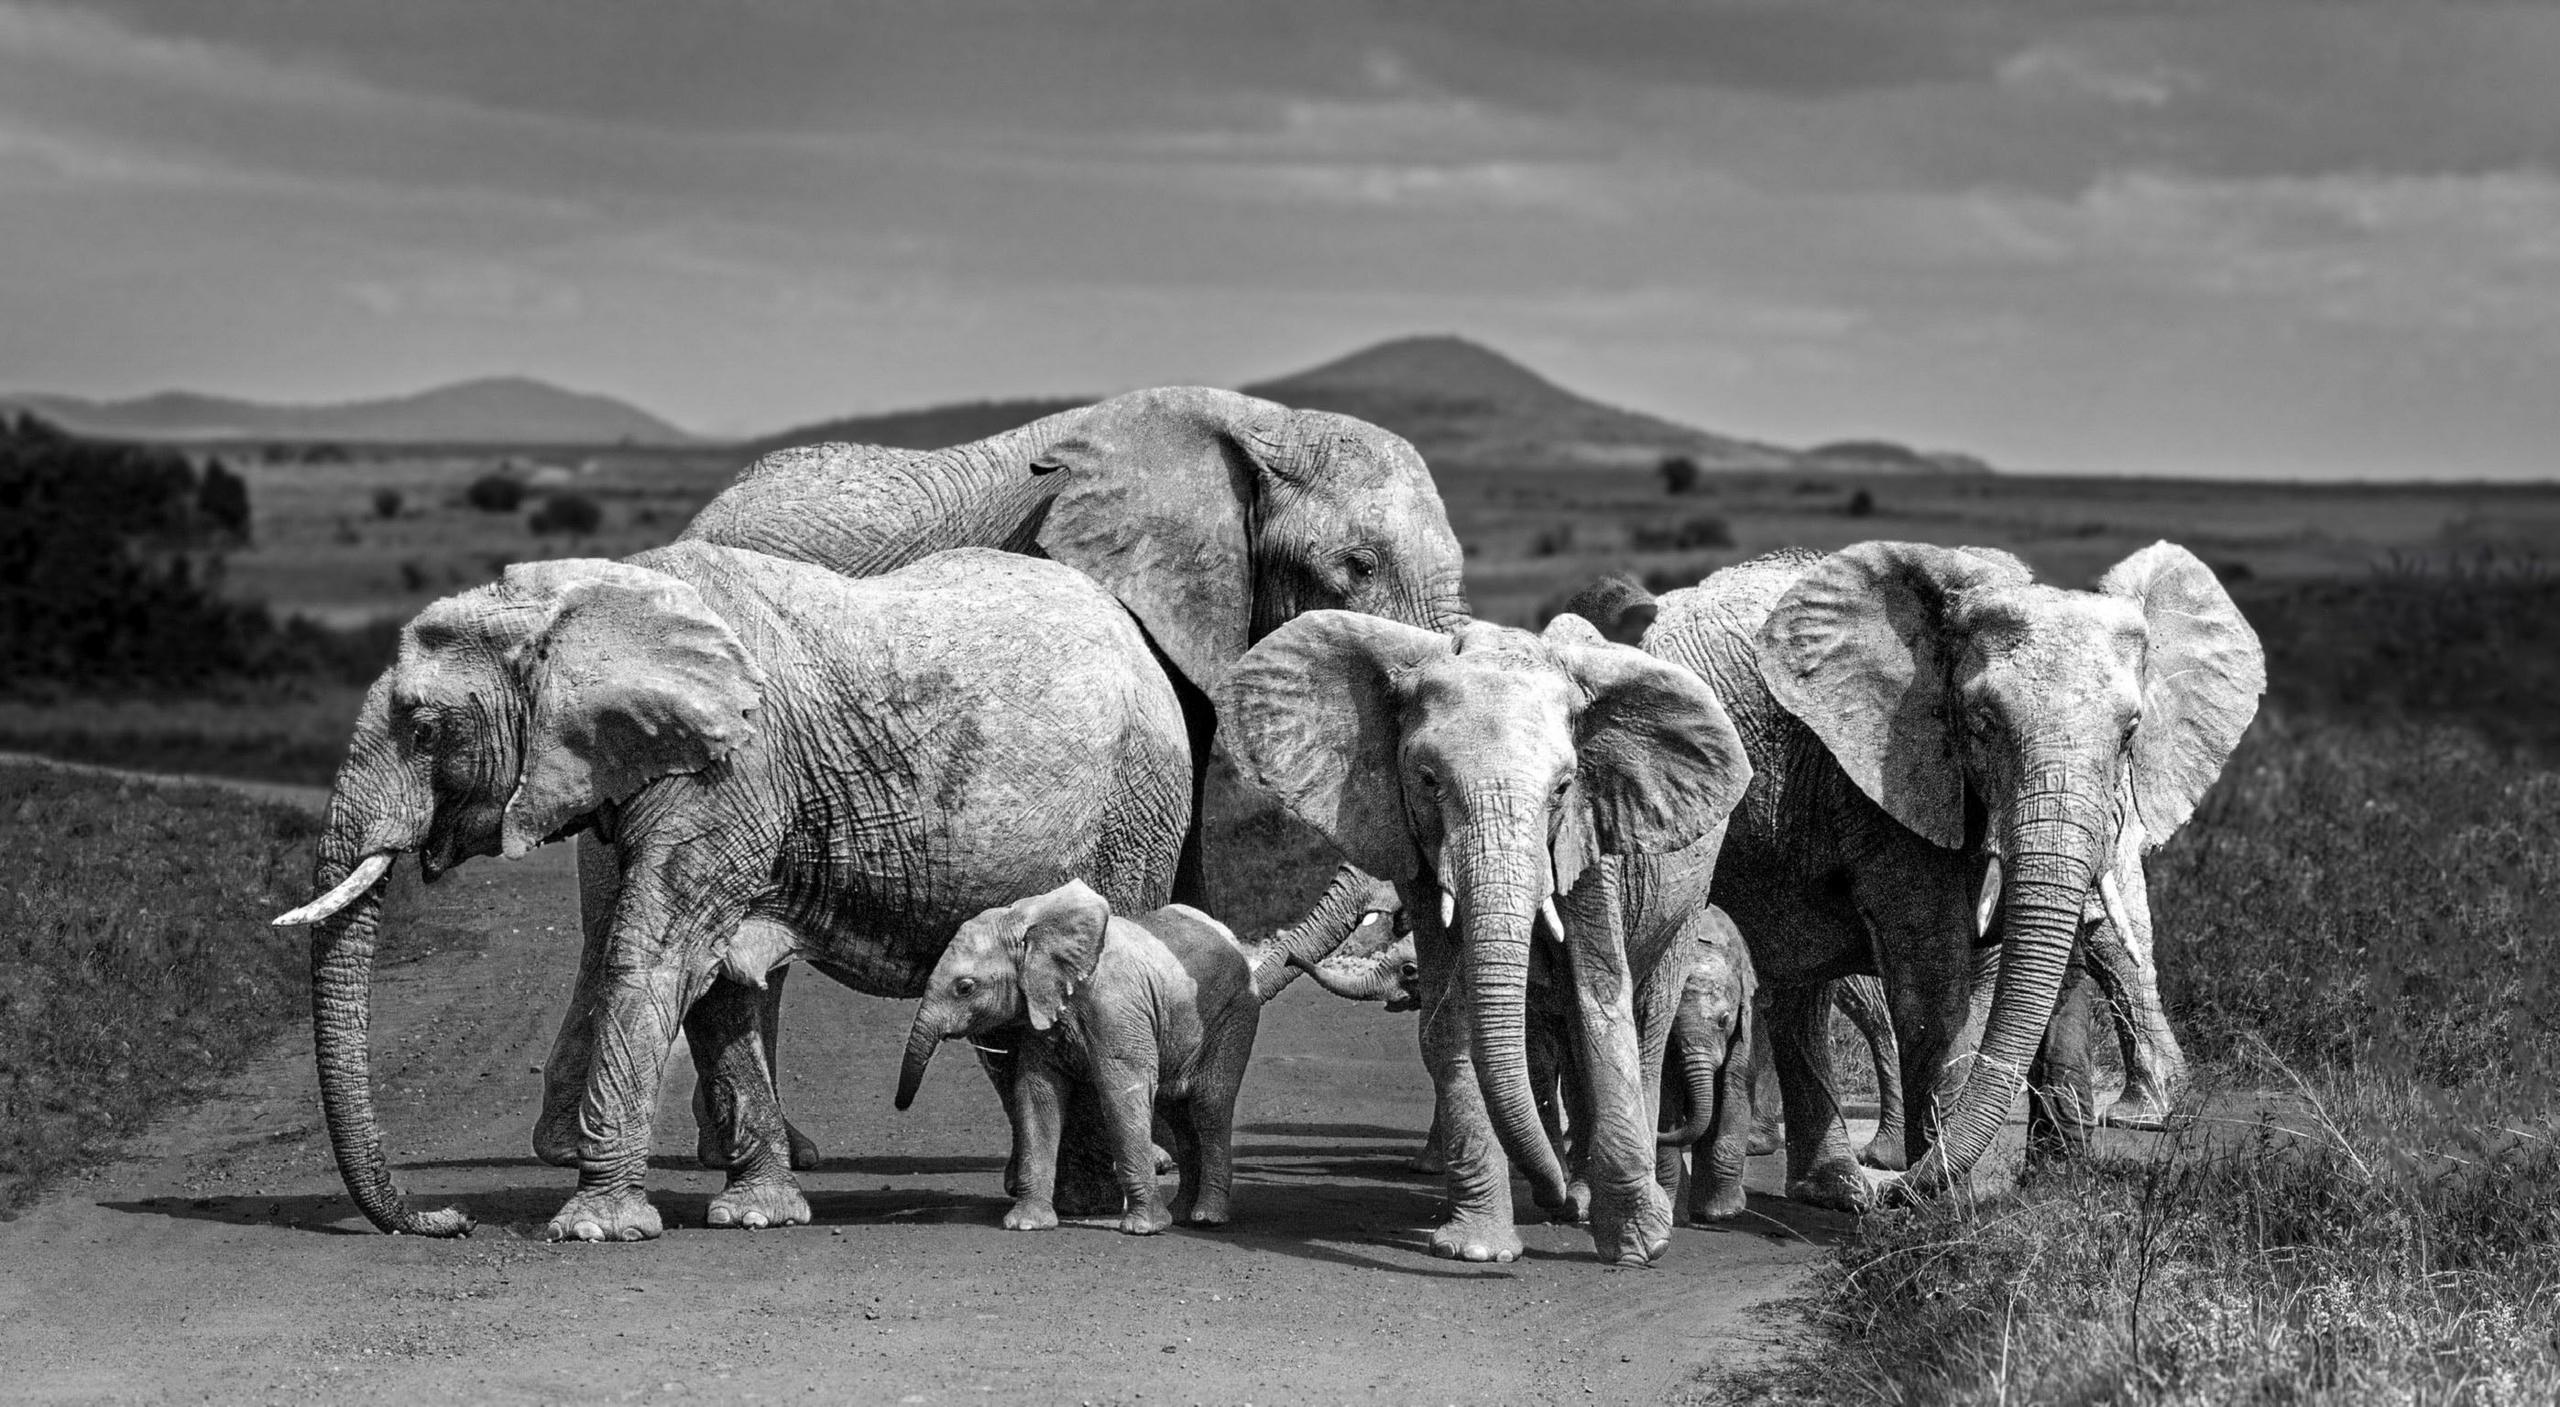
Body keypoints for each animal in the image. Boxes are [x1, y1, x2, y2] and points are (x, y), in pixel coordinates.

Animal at [275, 544, 1192, 1243]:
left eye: (426, 729)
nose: (448, 1219)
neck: (576, 605)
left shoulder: (728, 774)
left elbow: (656, 956)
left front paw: (595, 1227)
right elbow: (717, 984)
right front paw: (760, 1214)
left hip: (1136, 808)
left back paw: (1092, 1200)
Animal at [896, 890, 1264, 1243]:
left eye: (965, 987)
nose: (900, 1105)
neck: (1030, 921)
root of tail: (1229, 935)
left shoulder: (1116, 1008)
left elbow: (1121, 1093)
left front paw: (1144, 1229)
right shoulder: (1042, 1009)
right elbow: (1037, 1095)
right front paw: (1026, 1224)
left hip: (1235, 1013)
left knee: (1208, 1105)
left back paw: (1207, 1217)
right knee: (1177, 1112)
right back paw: (1183, 1214)